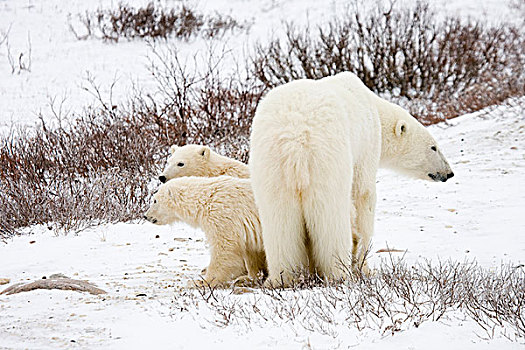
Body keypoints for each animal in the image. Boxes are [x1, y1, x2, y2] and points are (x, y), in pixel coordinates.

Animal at [248, 72, 452, 286]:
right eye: (433, 147)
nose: (449, 173)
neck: (374, 108)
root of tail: (294, 143)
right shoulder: (365, 145)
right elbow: (364, 195)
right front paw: (365, 266)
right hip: (326, 161)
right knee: (332, 217)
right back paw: (339, 272)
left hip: (271, 169)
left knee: (280, 223)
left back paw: (282, 278)